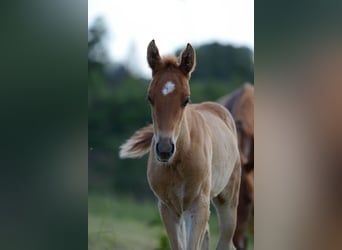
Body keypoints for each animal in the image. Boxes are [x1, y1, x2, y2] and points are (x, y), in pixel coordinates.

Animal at [119, 40, 242, 249]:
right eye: (150, 97)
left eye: (186, 99)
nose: (165, 149)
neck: (178, 161)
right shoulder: (168, 208)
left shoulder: (198, 205)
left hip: (227, 201)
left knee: (226, 242)